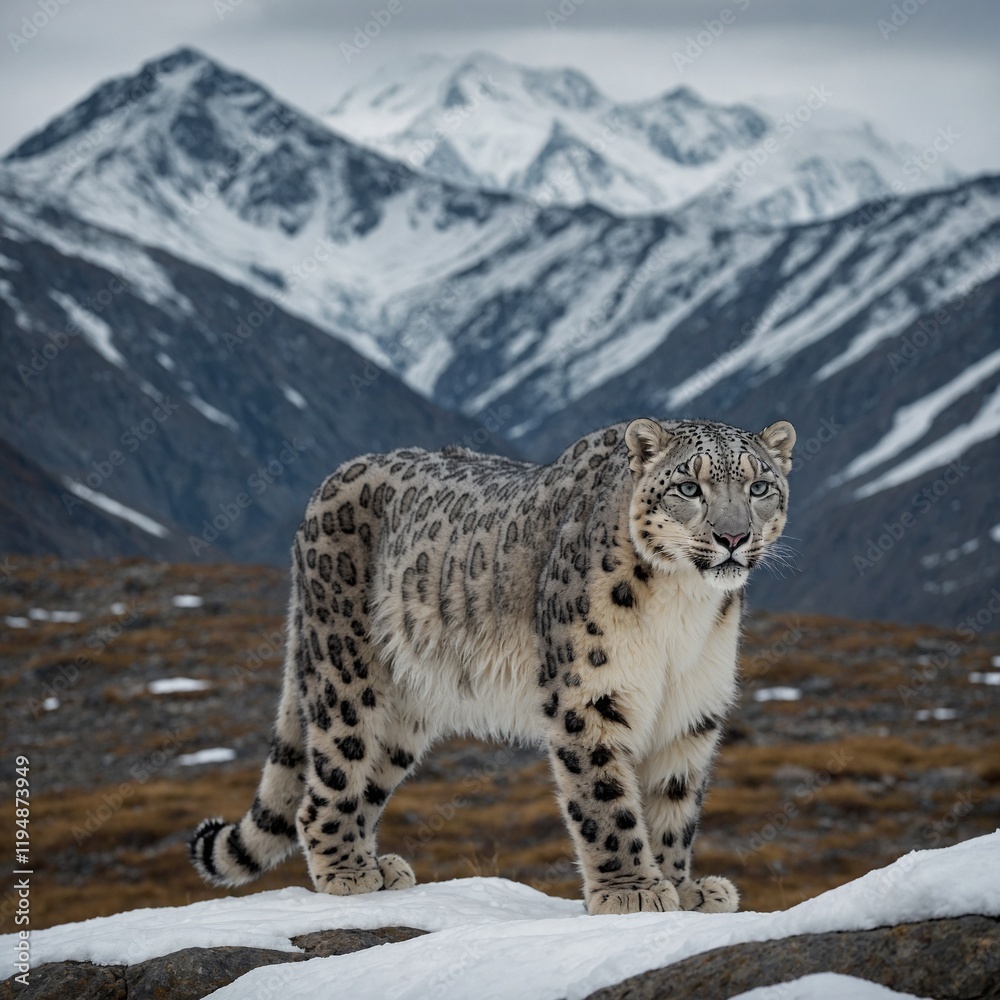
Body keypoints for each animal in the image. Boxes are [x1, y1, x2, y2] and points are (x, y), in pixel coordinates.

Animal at [190, 416, 795, 915]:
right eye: (688, 487)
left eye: (759, 487)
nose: (733, 536)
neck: (681, 611)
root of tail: (330, 480)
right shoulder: (588, 695)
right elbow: (606, 801)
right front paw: (632, 893)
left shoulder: (691, 709)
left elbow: (674, 806)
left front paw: (683, 888)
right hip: (346, 674)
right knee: (329, 783)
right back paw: (349, 873)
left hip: (406, 709)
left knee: (369, 780)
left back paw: (381, 867)